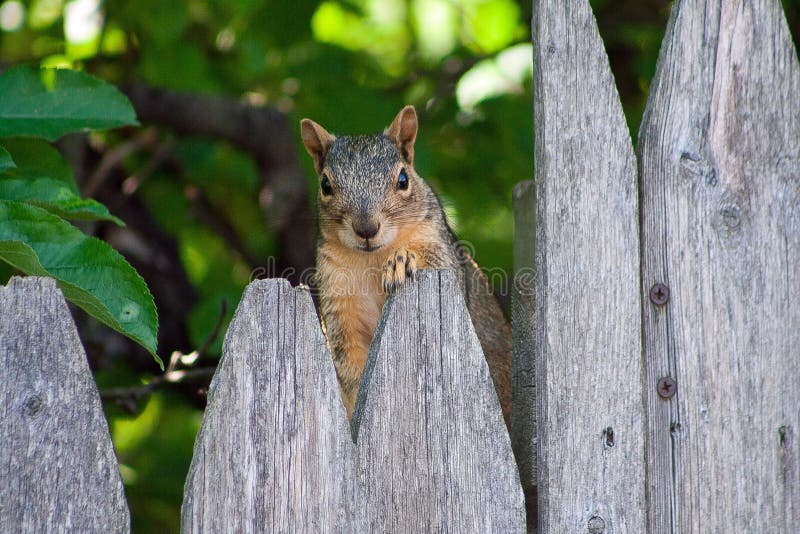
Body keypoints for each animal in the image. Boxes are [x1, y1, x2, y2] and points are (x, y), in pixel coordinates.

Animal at [300, 106, 511, 423]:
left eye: (403, 180)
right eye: (325, 185)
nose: (366, 229)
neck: (372, 257)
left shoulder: (440, 243)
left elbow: (438, 261)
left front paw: (402, 259)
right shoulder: (339, 299)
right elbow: (349, 364)